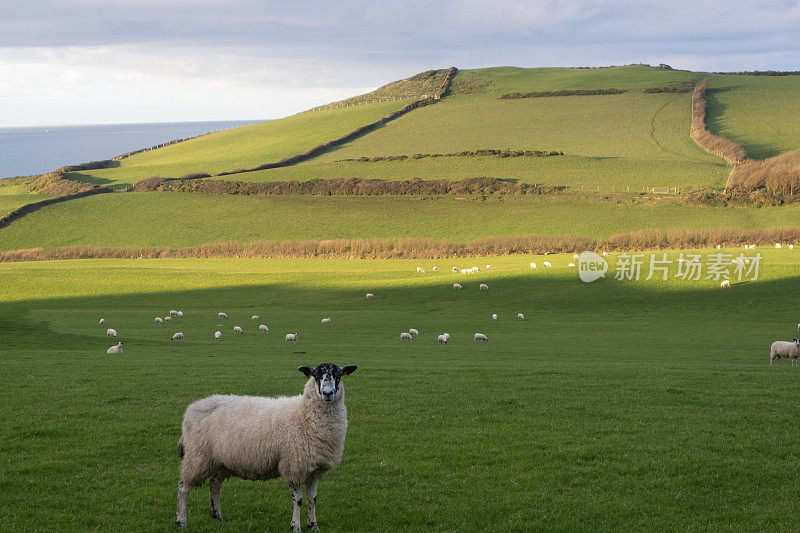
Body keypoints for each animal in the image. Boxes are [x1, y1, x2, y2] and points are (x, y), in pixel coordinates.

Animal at [178, 362, 360, 528]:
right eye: (315, 375)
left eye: (339, 375)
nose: (327, 393)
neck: (304, 414)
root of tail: (191, 408)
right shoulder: (293, 466)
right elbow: (299, 500)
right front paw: (296, 526)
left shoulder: (314, 469)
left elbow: (312, 498)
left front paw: (313, 525)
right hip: (197, 456)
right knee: (183, 487)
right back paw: (181, 521)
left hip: (220, 461)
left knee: (215, 484)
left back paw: (217, 516)